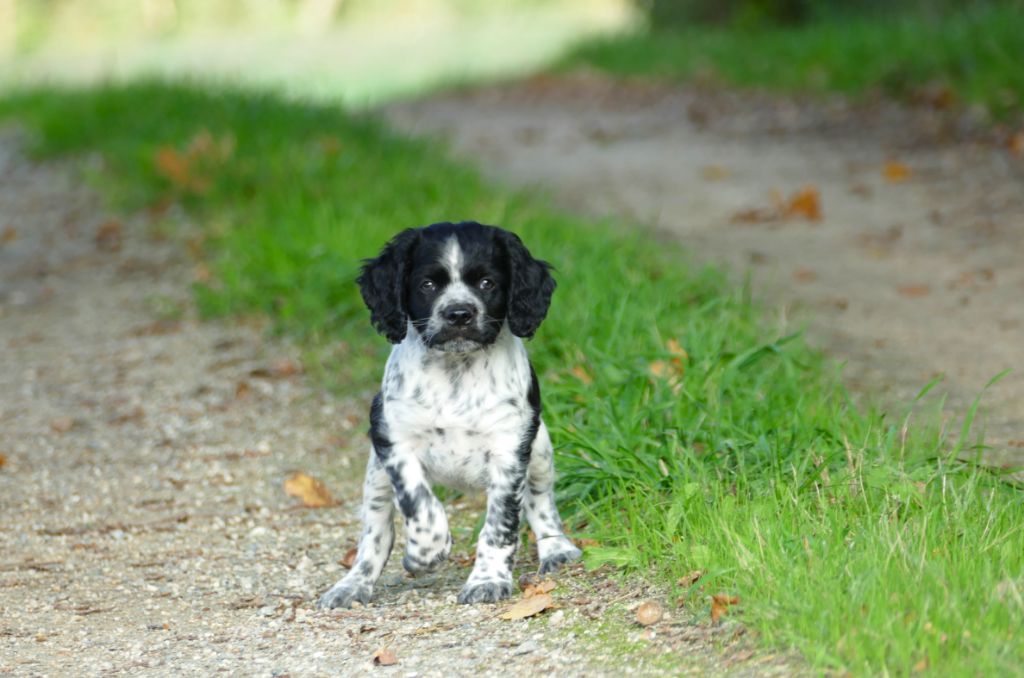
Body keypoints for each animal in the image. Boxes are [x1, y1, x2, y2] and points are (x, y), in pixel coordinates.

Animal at [315, 223, 581, 610]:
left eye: (487, 283)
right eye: (427, 285)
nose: (458, 314)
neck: (457, 372)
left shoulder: (510, 447)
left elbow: (500, 524)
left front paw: (488, 580)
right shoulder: (391, 436)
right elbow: (416, 499)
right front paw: (426, 550)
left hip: (541, 451)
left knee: (540, 501)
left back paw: (556, 548)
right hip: (375, 478)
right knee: (375, 535)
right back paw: (352, 584)